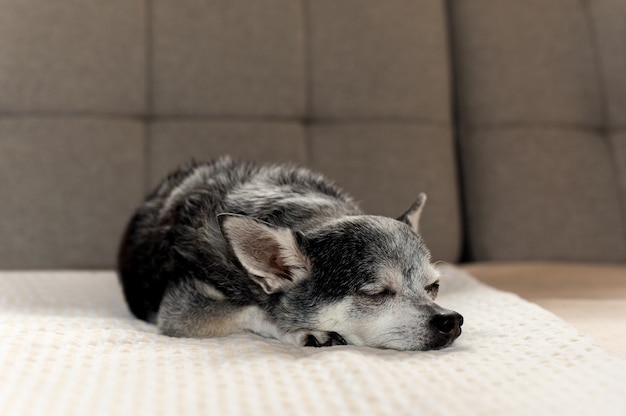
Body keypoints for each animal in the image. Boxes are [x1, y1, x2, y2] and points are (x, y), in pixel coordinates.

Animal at [117, 157, 460, 352]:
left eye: (433, 287)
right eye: (376, 294)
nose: (452, 320)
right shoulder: (179, 308)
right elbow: (252, 310)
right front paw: (302, 332)